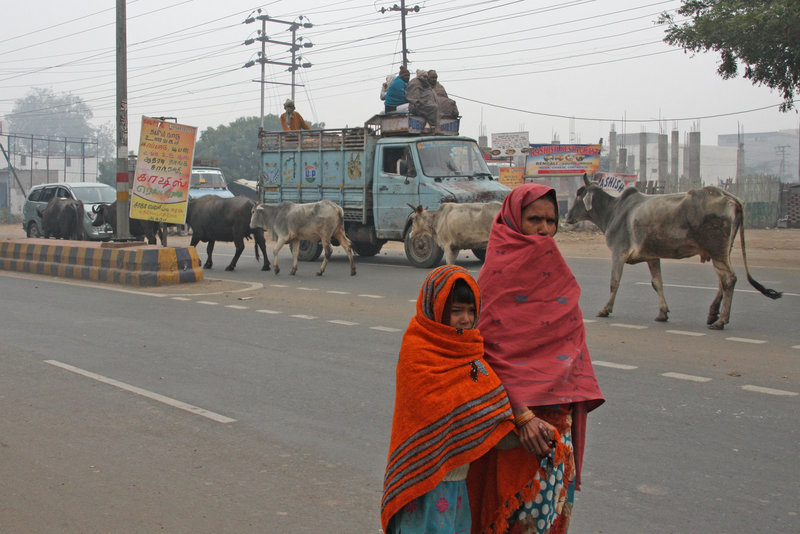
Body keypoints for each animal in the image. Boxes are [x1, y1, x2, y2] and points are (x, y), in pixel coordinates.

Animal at [564, 175, 780, 330]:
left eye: (579, 193)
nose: (567, 217)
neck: (613, 211)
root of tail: (729, 196)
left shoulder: (618, 253)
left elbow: (614, 282)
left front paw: (605, 309)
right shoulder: (652, 257)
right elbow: (657, 283)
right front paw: (662, 313)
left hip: (717, 250)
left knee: (729, 279)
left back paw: (721, 320)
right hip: (724, 250)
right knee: (723, 280)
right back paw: (713, 314)